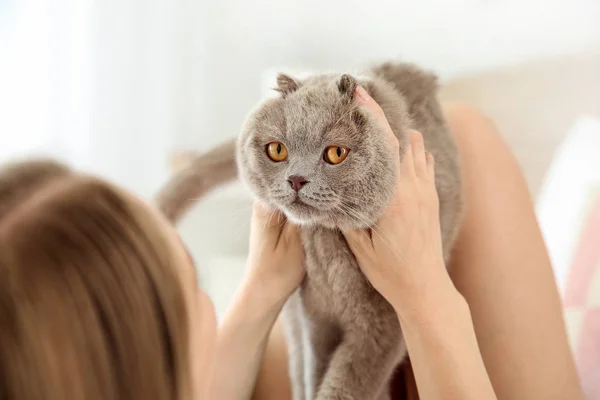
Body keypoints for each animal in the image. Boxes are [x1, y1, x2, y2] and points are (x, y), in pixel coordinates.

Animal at [156, 62, 464, 400]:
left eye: (336, 153)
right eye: (277, 150)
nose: (296, 179)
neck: (326, 247)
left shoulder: (385, 324)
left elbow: (348, 383)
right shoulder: (314, 320)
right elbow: (316, 370)